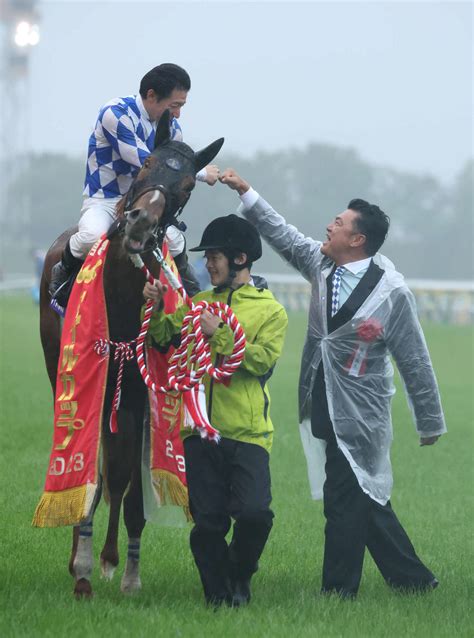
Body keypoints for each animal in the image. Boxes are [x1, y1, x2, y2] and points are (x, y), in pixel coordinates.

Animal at [38, 110, 223, 600]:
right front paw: (82, 567)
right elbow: (95, 466)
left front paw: (125, 572)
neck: (122, 290)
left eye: (187, 185)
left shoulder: (141, 386)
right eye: (145, 166)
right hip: (58, 370)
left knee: (118, 470)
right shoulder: (93, 374)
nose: (139, 223)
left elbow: (127, 478)